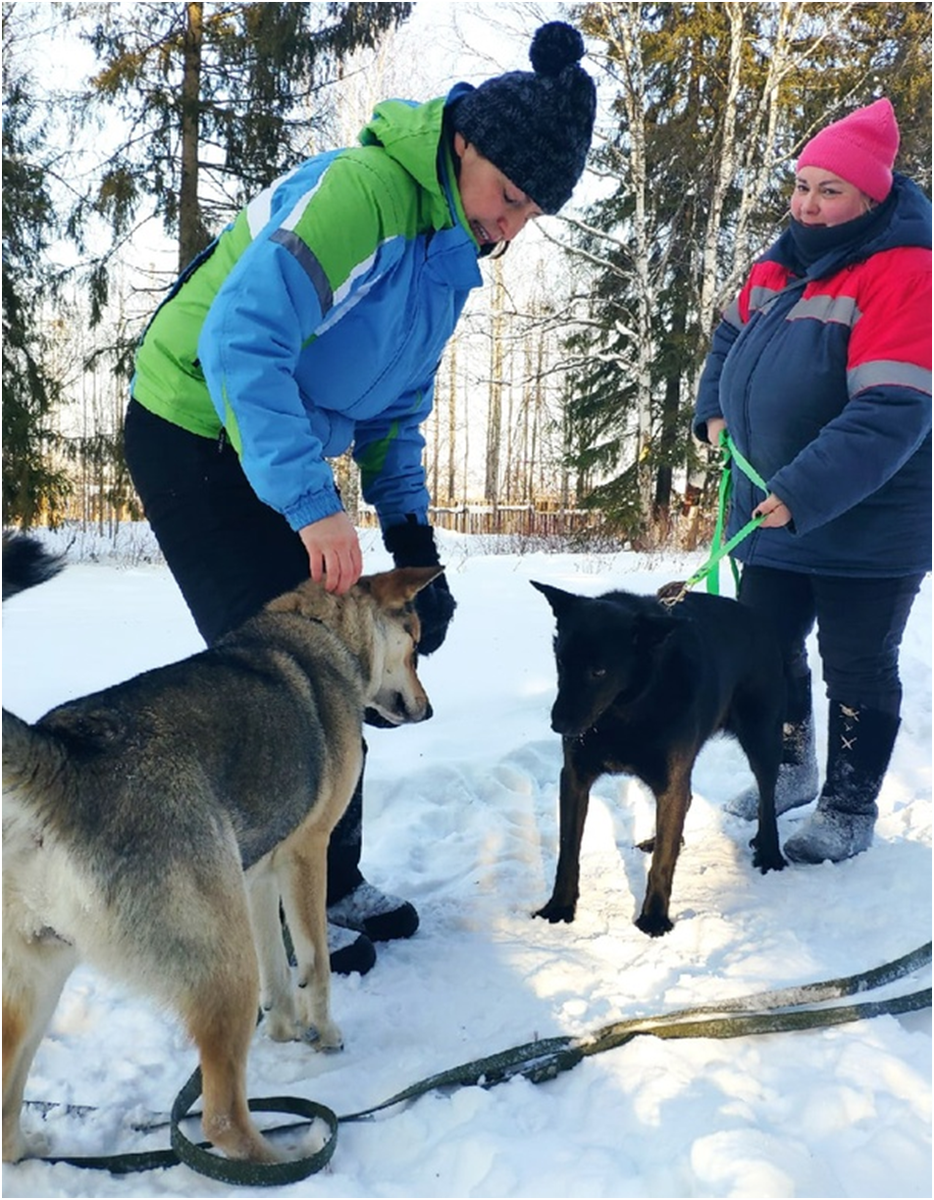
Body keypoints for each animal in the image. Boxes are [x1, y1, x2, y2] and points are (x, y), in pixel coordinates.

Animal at [0, 566, 436, 1166]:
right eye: (415, 649)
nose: (429, 709)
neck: (318, 629)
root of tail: (62, 760)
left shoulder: (257, 874)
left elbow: (279, 970)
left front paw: (284, 1028)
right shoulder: (308, 851)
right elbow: (316, 964)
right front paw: (323, 1034)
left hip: (40, 980)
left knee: (2, 1116)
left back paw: (31, 1150)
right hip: (223, 967)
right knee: (222, 1117)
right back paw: (291, 1161)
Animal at [530, 583, 787, 936]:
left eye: (598, 671)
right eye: (561, 661)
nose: (559, 725)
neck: (624, 711)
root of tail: (755, 617)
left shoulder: (670, 780)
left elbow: (662, 863)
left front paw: (653, 918)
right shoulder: (575, 777)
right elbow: (568, 850)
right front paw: (560, 906)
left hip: (761, 737)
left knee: (766, 795)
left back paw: (770, 852)